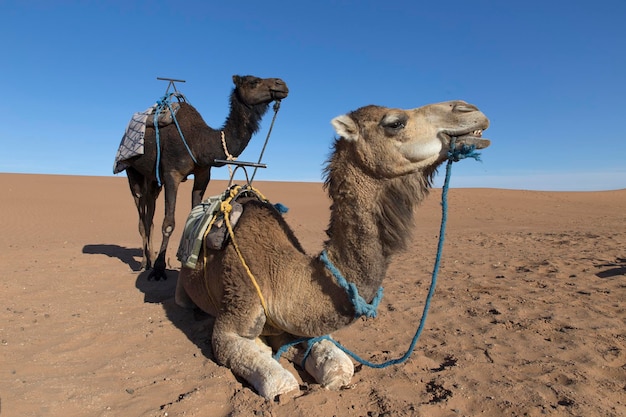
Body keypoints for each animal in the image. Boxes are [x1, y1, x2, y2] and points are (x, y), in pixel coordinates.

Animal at [122, 76, 288, 282]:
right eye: (253, 82)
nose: (281, 84)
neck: (200, 141)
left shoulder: (203, 174)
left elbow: (194, 216)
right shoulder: (171, 174)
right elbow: (168, 224)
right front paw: (159, 269)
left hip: (152, 178)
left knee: (149, 213)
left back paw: (149, 259)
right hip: (132, 170)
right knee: (140, 212)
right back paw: (145, 263)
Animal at [174, 99, 488, 398]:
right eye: (395, 122)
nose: (470, 110)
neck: (282, 276)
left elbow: (340, 366)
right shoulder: (234, 316)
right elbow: (280, 382)